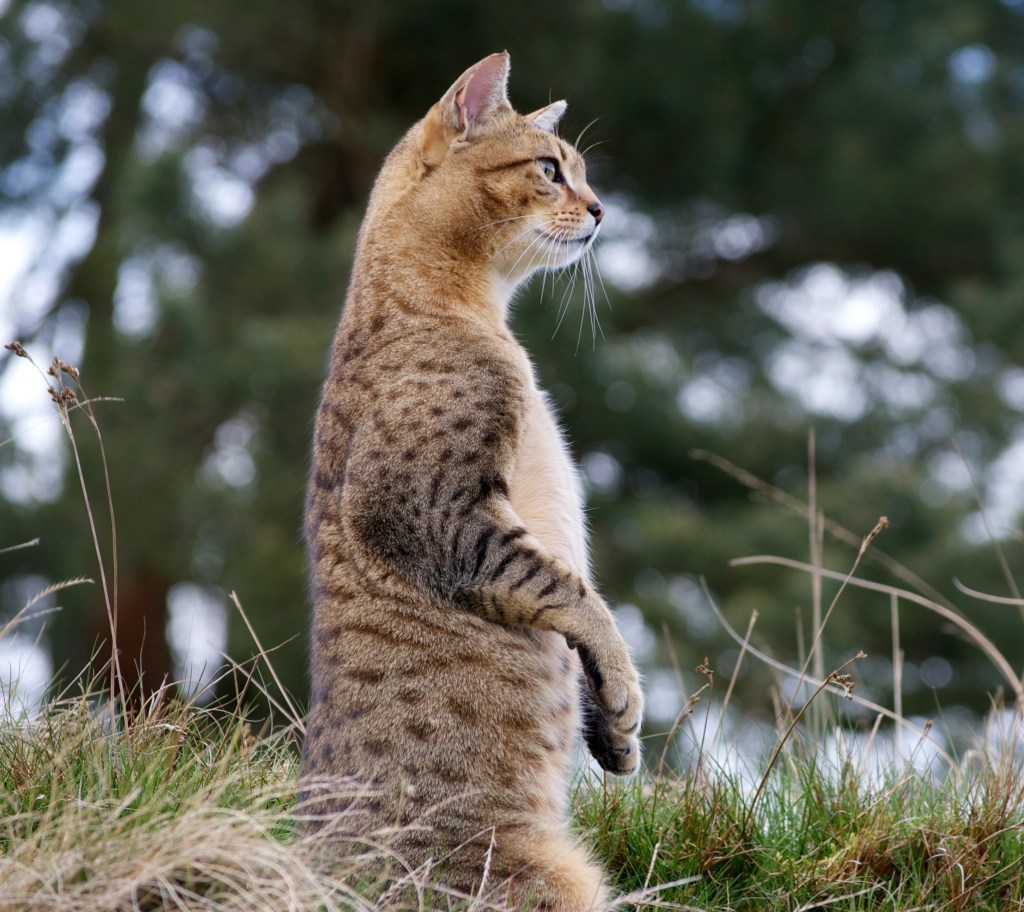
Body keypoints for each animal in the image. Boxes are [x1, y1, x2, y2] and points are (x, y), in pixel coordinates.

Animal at [299, 53, 643, 908]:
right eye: (551, 169)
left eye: (582, 171)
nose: (603, 209)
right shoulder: (443, 516)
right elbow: (573, 595)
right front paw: (624, 693)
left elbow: (576, 591)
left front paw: (613, 732)